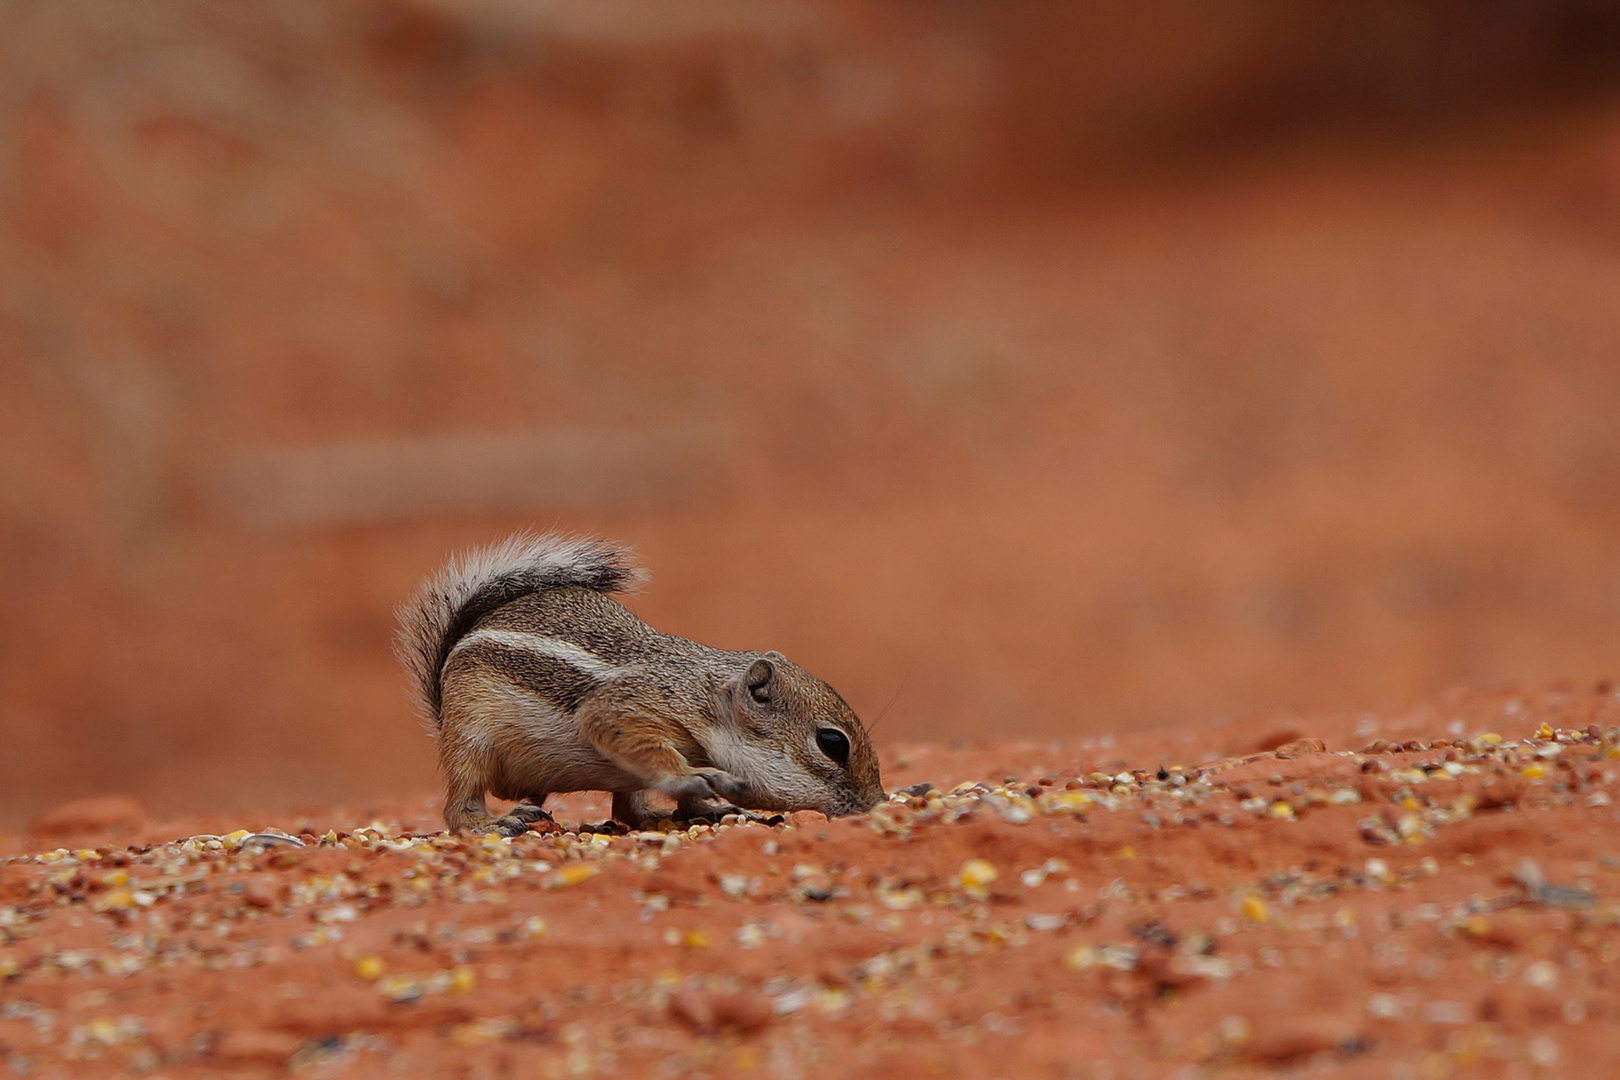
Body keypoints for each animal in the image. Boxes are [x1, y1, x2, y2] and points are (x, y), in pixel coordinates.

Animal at [395, 534, 887, 835]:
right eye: (832, 743)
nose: (877, 802)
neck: (706, 696)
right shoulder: (629, 707)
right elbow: (637, 741)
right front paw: (694, 777)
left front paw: (708, 803)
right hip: (470, 741)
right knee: (459, 805)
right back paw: (491, 824)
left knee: (628, 809)